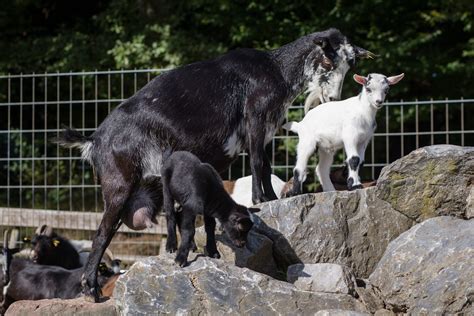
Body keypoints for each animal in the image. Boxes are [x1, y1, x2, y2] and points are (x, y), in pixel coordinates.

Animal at [56, 27, 374, 302]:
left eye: (350, 64)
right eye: (327, 59)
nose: (332, 98)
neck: (277, 70)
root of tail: (95, 139)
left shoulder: (264, 129)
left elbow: (264, 166)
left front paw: (269, 198)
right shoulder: (256, 118)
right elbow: (258, 162)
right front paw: (263, 199)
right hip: (118, 185)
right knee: (101, 235)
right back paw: (91, 289)